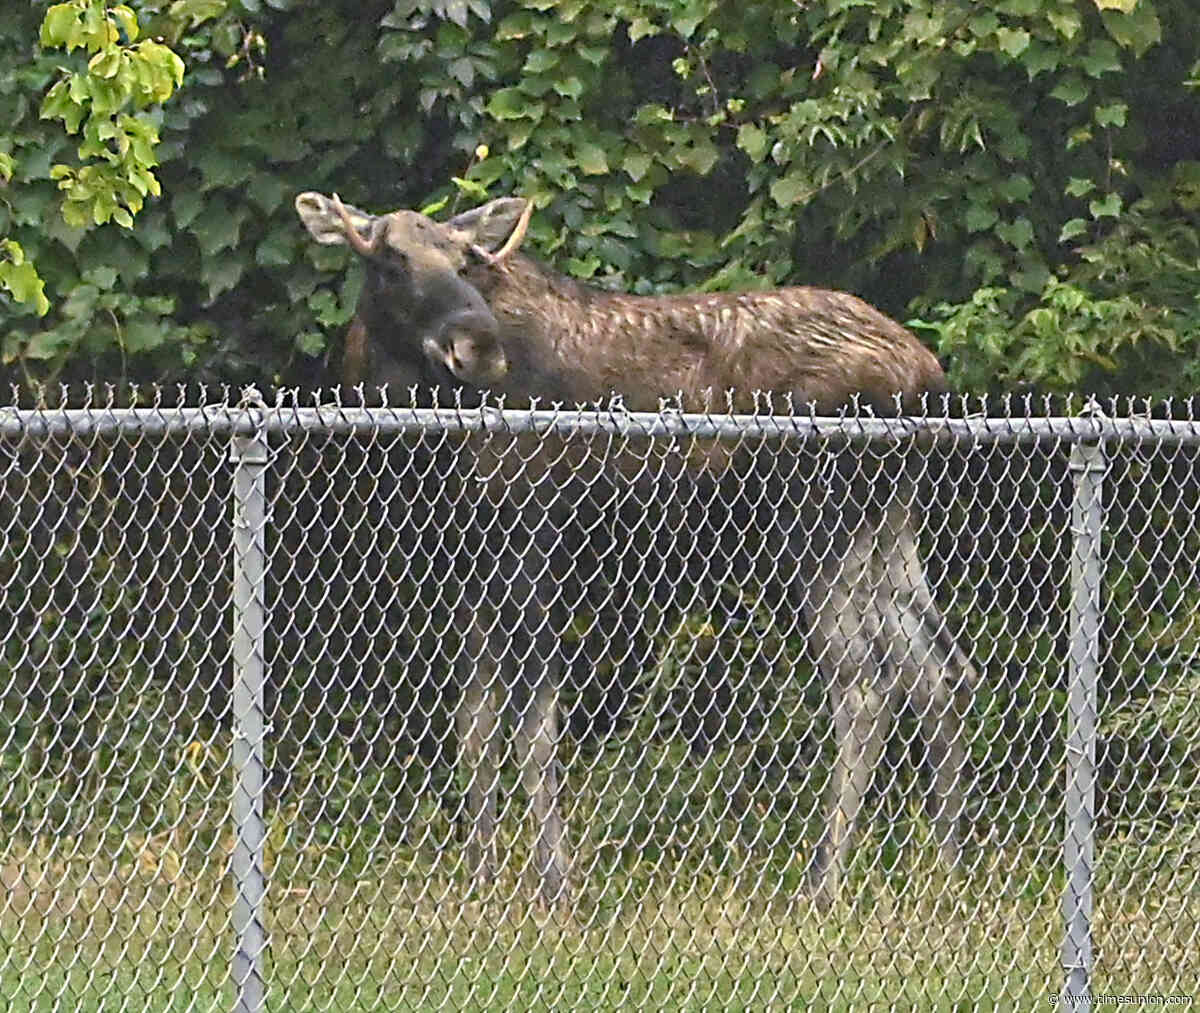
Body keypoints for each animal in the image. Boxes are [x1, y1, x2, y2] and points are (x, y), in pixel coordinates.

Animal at [295, 190, 977, 909]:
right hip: (887, 527)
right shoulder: (471, 559)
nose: (478, 347)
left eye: (464, 260)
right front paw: (482, 876)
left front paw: (556, 882)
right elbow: (474, 721)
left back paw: (822, 883)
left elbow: (535, 723)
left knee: (867, 684)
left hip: (813, 526)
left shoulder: (529, 536)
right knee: (942, 671)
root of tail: (928, 376)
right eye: (389, 259)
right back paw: (947, 866)